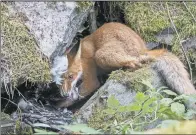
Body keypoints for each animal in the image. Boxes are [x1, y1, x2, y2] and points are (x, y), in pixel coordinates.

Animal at [58, 22, 196, 108]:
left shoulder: (90, 79)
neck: (82, 58)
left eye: (70, 76)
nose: (64, 93)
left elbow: (81, 92)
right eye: (60, 80)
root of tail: (143, 49)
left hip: (101, 55)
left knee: (135, 62)